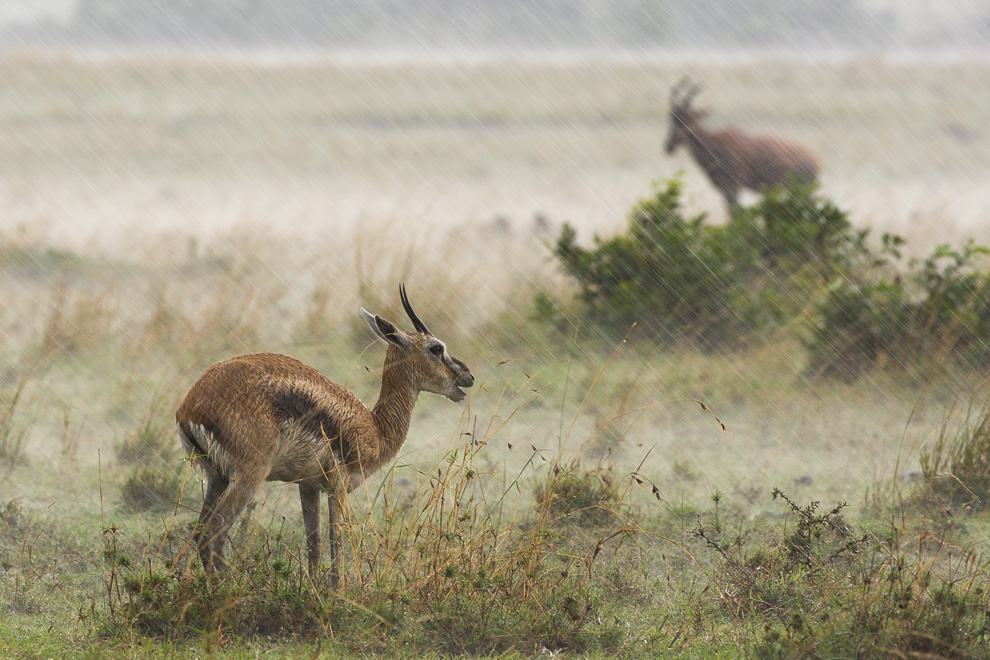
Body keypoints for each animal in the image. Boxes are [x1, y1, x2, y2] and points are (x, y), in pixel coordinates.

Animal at [176, 286, 474, 584]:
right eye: (436, 348)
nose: (467, 375)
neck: (375, 426)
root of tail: (190, 406)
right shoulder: (338, 486)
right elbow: (336, 539)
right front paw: (335, 590)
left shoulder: (307, 485)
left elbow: (314, 542)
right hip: (250, 475)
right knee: (215, 530)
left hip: (217, 477)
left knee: (200, 532)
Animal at [668, 77, 820, 211]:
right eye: (672, 119)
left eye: (687, 120)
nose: (668, 147)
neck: (715, 142)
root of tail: (817, 163)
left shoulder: (733, 186)